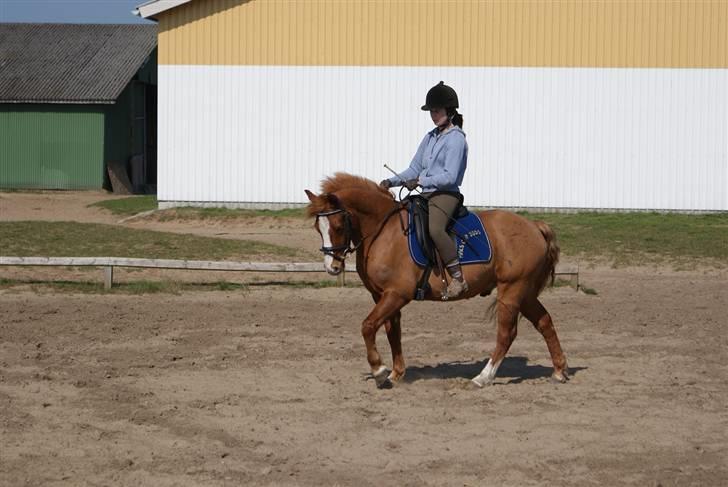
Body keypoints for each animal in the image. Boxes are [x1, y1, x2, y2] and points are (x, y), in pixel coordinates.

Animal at [304, 173, 564, 390]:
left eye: (339, 226)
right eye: (318, 227)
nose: (332, 267)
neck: (383, 231)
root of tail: (534, 226)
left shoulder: (397, 294)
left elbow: (368, 326)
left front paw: (379, 371)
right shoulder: (381, 295)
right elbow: (392, 332)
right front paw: (396, 374)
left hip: (512, 290)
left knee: (506, 334)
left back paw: (483, 378)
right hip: (525, 292)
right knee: (545, 322)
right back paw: (559, 371)